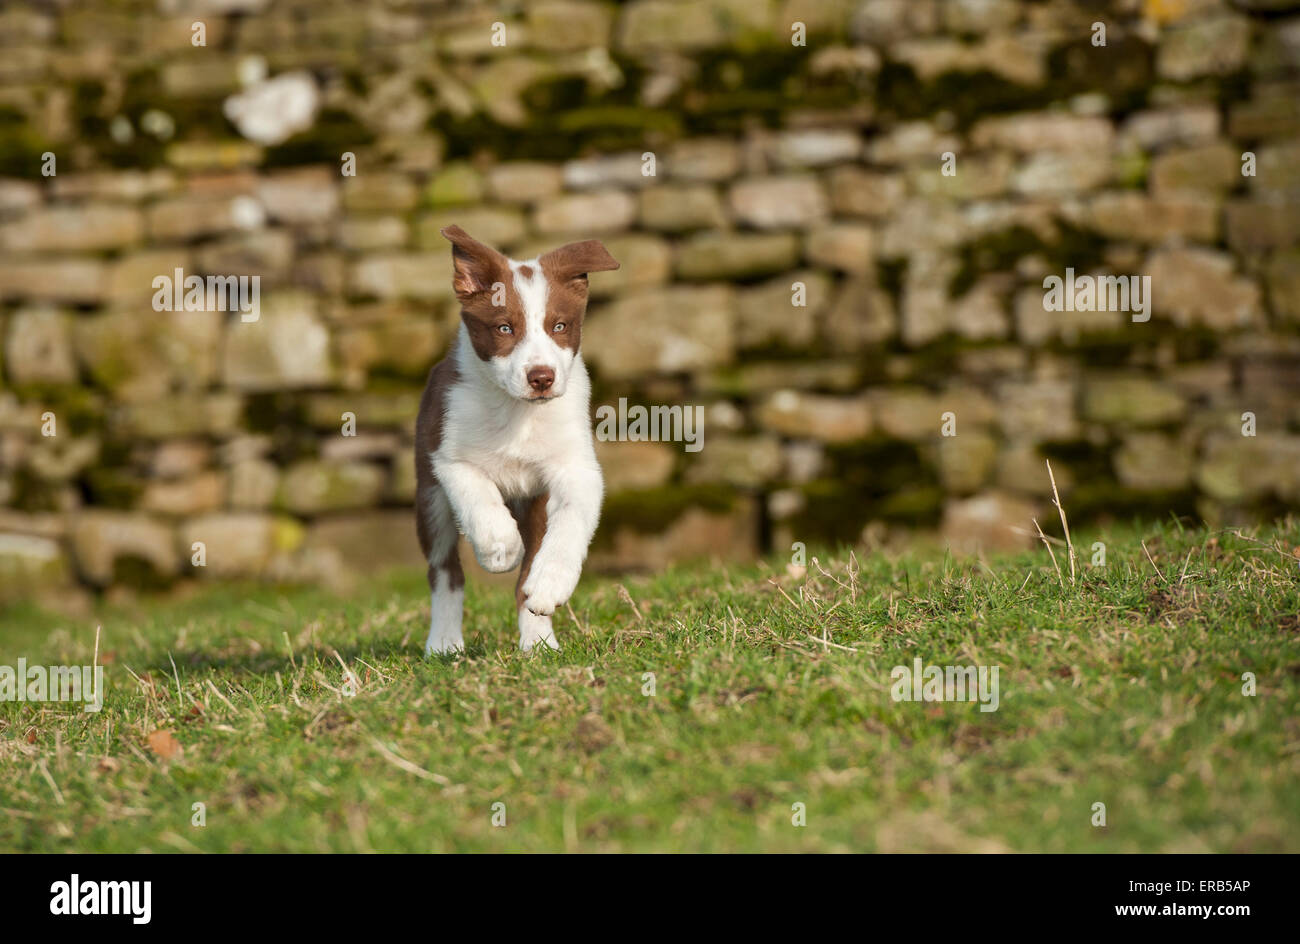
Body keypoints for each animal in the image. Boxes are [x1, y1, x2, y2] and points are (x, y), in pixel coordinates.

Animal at [416, 224, 618, 655]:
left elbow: (570, 523)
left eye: (560, 326)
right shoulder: (449, 456)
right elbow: (478, 495)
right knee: (444, 570)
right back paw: (444, 642)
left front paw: (550, 585)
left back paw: (539, 641)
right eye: (505, 328)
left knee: (524, 579)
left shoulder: (576, 467)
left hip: (534, 506)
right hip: (429, 498)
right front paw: (500, 548)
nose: (541, 377)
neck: (517, 412)